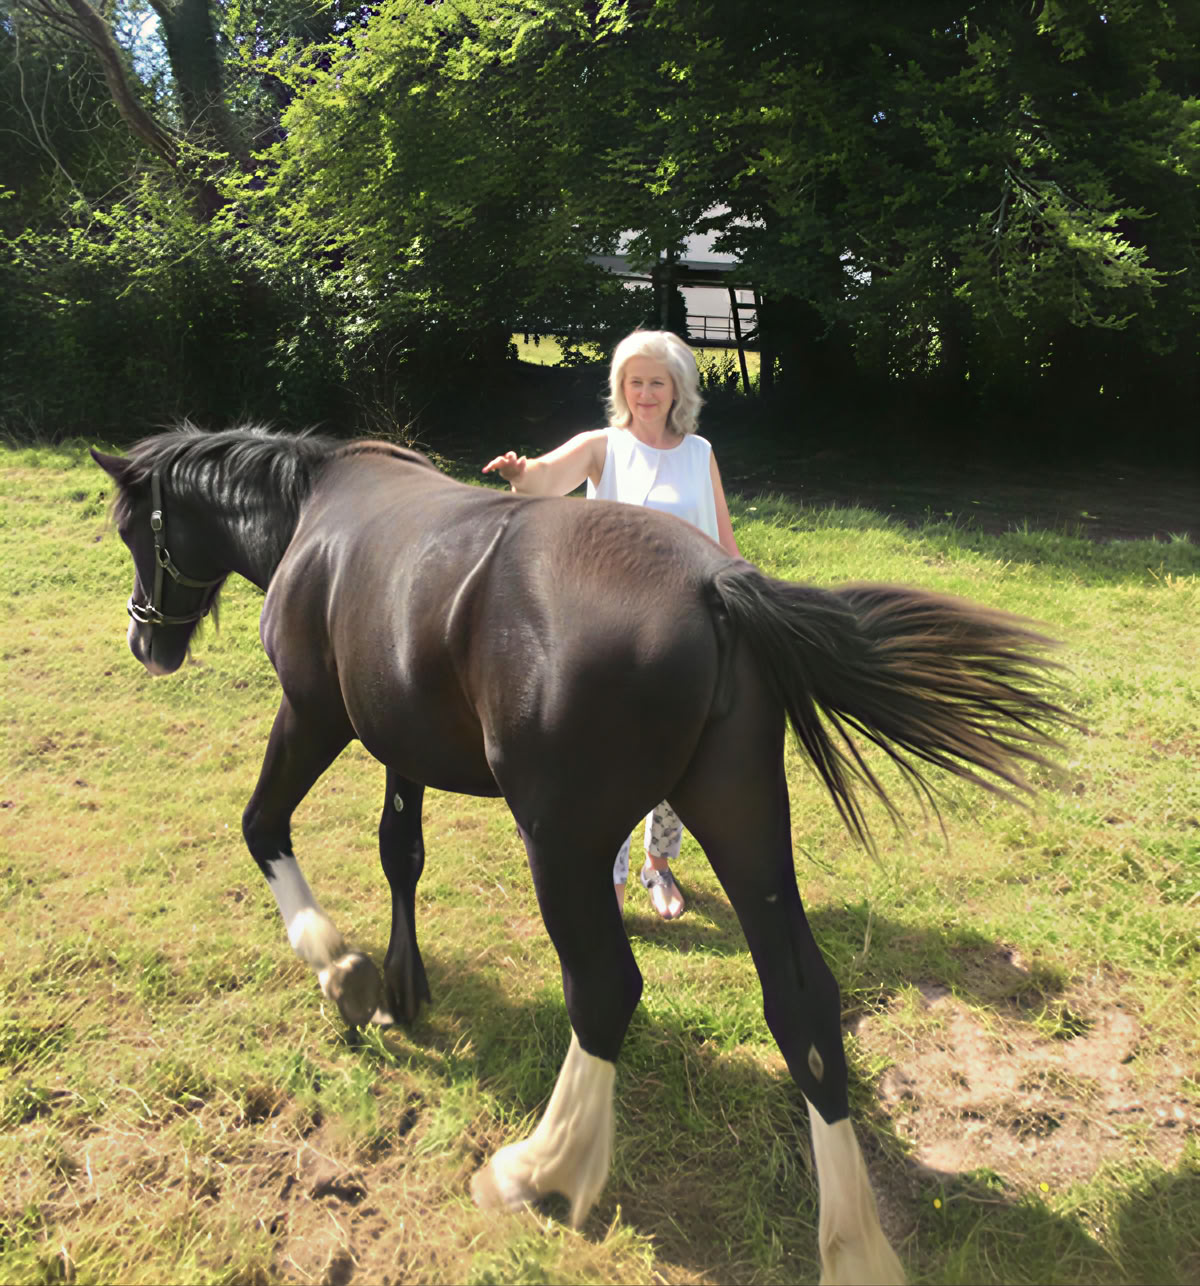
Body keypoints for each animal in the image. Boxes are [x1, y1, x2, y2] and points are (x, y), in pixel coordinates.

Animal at [92, 425, 1071, 1285]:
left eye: (135, 530)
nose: (145, 638)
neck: (313, 512)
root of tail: (714, 582)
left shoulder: (313, 715)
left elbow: (263, 828)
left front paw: (343, 970)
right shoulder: (401, 745)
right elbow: (400, 852)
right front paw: (402, 984)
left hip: (560, 842)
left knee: (605, 988)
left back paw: (538, 1169)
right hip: (745, 821)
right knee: (802, 1004)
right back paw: (853, 1246)